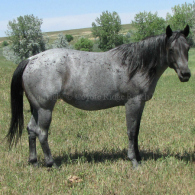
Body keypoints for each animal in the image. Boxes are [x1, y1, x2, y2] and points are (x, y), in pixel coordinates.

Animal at [7, 24, 190, 168]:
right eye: (171, 49)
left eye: (188, 47)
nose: (186, 74)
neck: (135, 65)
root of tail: (31, 59)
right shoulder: (133, 102)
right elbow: (131, 131)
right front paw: (134, 161)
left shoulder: (141, 104)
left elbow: (137, 130)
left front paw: (139, 157)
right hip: (45, 109)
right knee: (42, 133)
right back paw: (52, 164)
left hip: (36, 108)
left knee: (31, 130)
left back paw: (34, 162)